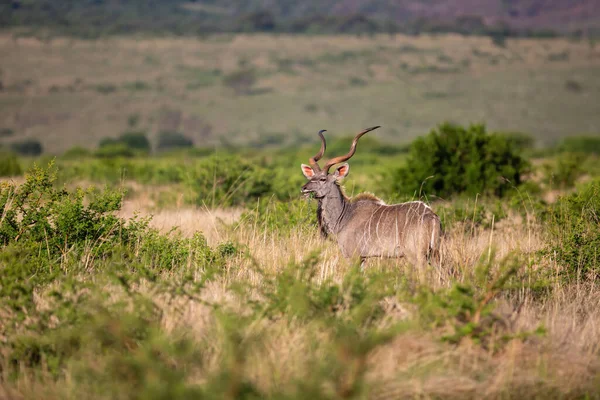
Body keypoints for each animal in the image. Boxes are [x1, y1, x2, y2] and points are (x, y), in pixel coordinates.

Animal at [300, 126, 440, 268]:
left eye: (323, 179)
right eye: (311, 177)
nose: (304, 188)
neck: (345, 215)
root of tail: (431, 216)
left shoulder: (354, 256)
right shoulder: (363, 258)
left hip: (416, 256)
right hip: (433, 254)